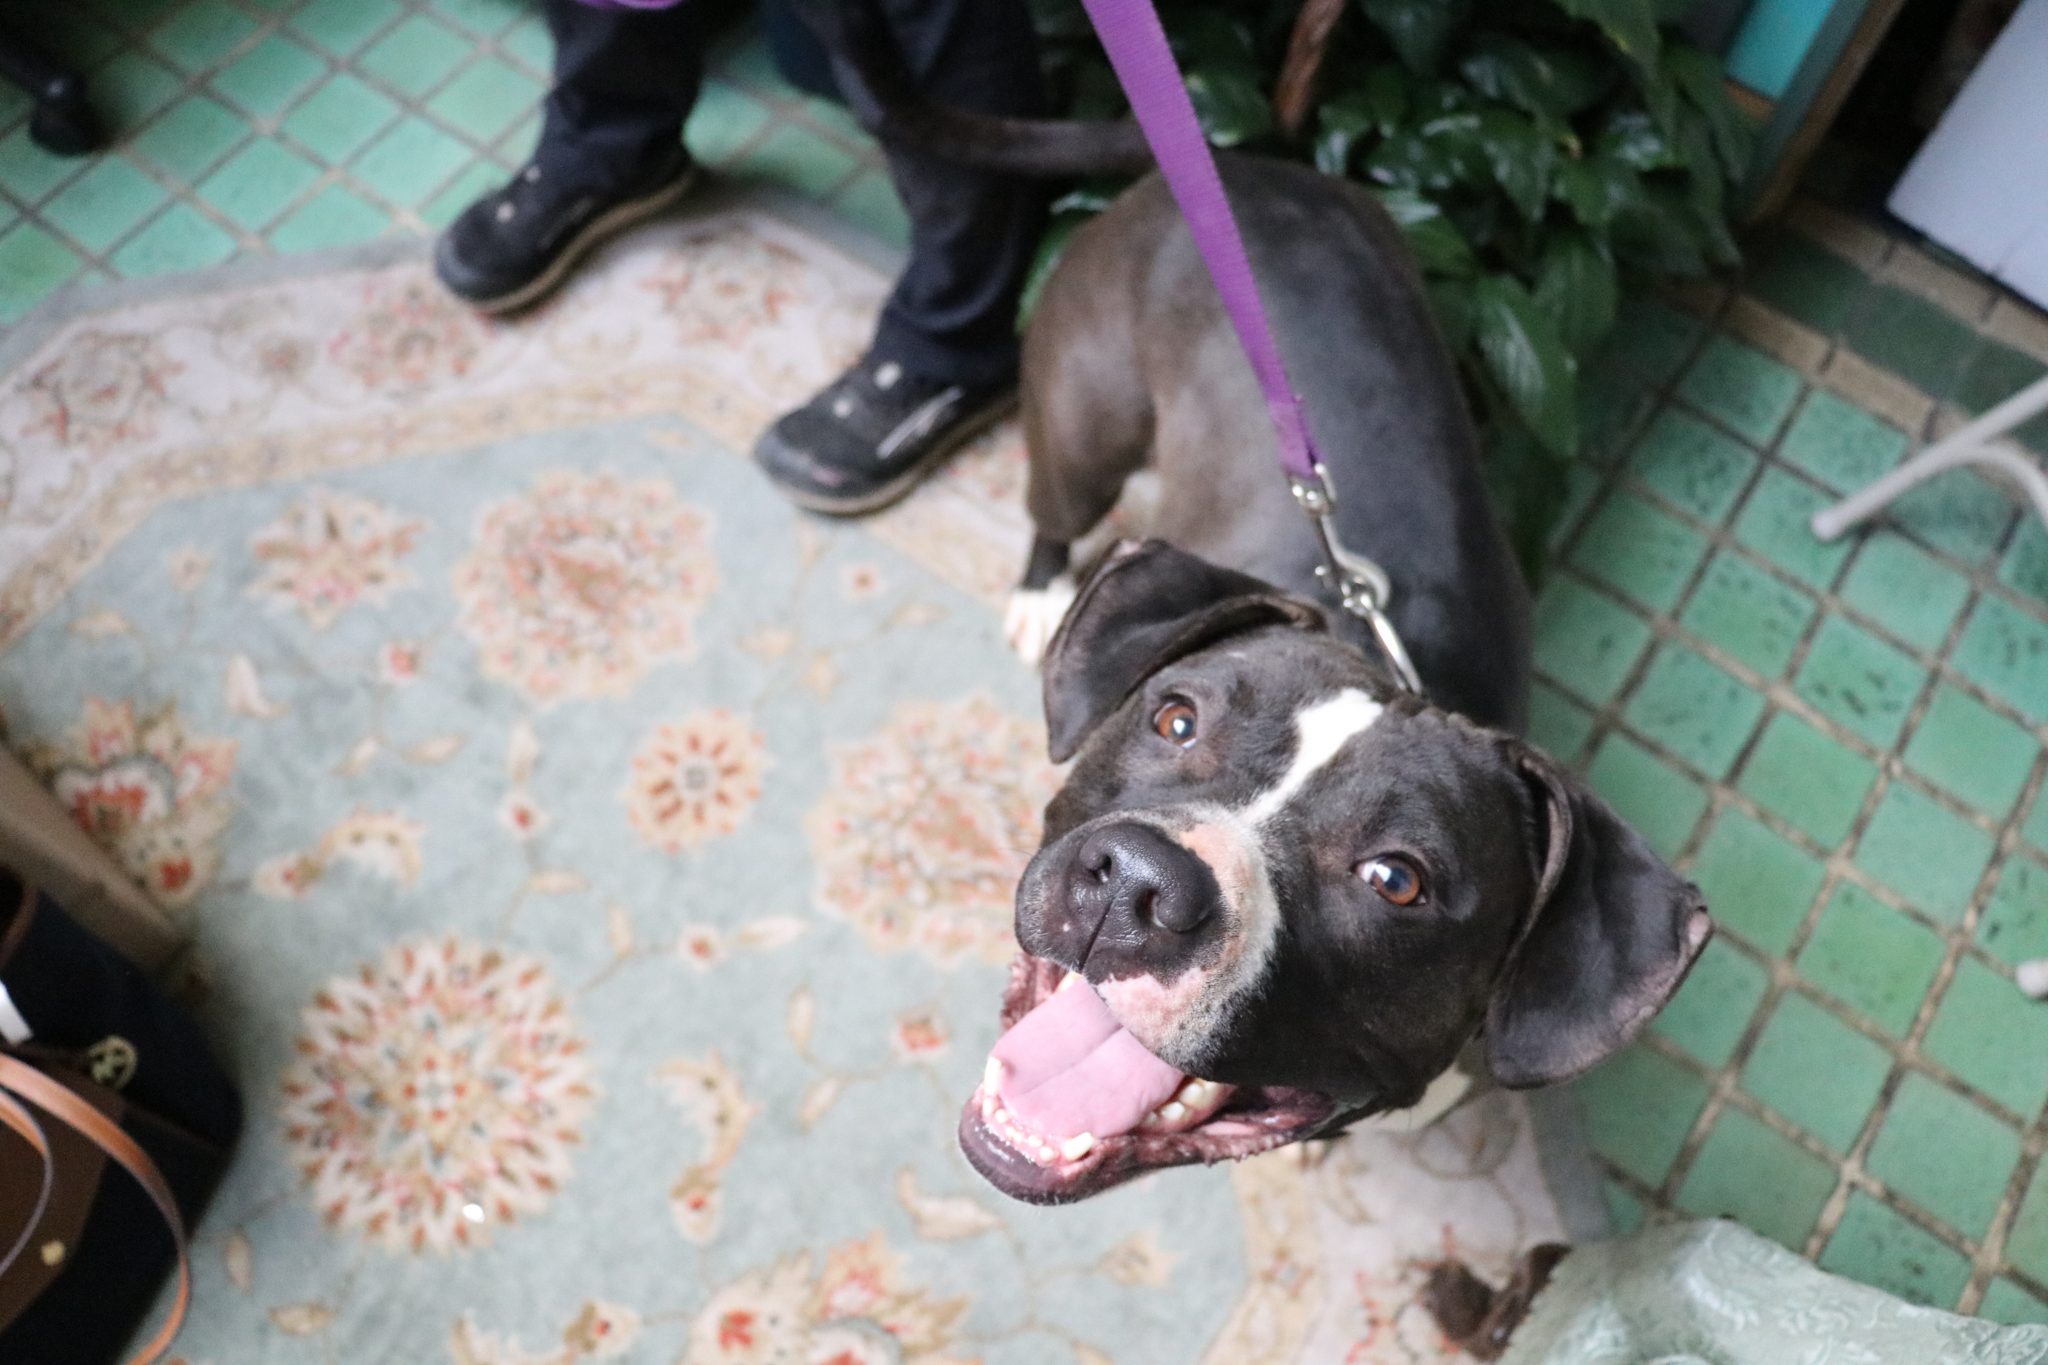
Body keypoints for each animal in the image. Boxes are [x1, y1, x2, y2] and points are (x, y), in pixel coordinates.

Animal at [954, 160, 1712, 1203]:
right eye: (1176, 720)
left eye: (1396, 878)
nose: (1139, 882)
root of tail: (1252, 165)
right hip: (1083, 428)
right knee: (1057, 504)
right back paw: (1042, 588)